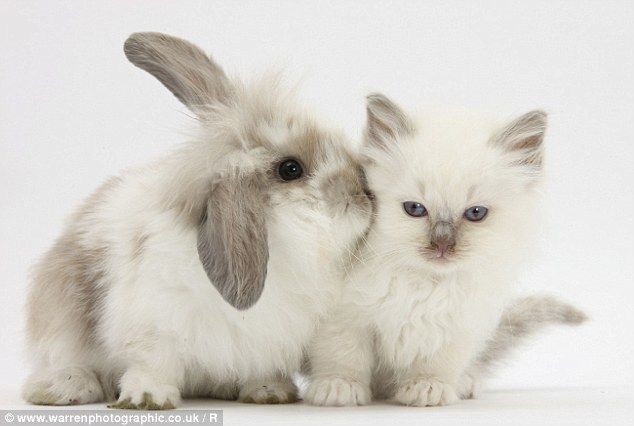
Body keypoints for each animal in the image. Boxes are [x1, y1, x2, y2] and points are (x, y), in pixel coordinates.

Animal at [22, 32, 372, 410]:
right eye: (291, 169)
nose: (363, 192)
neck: (278, 249)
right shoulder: (154, 325)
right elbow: (152, 364)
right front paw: (147, 398)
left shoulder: (268, 338)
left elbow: (262, 366)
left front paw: (269, 391)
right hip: (59, 318)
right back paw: (68, 387)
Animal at [304, 93, 572, 406]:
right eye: (415, 209)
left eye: (476, 213)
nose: (442, 244)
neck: (424, 283)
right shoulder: (344, 317)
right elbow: (343, 355)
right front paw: (338, 387)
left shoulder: (459, 328)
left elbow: (437, 363)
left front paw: (427, 388)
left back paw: (465, 383)